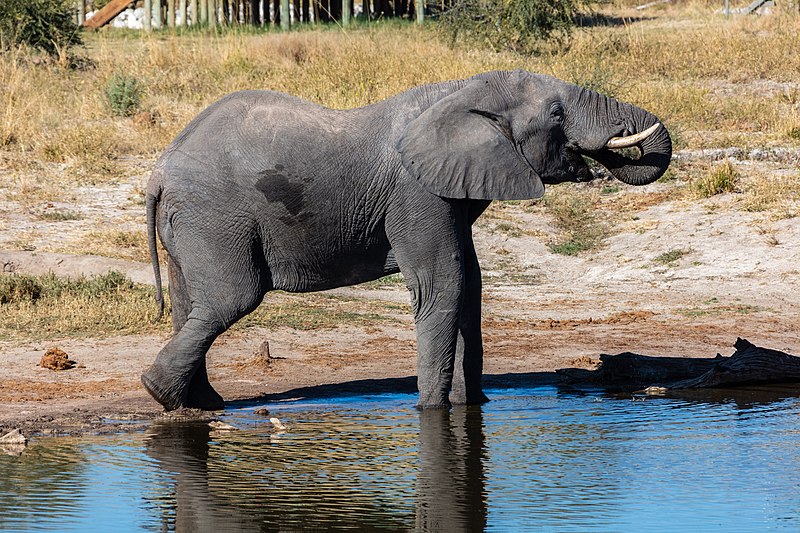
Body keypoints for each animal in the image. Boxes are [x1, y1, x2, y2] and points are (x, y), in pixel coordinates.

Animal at [141, 69, 672, 412]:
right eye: (557, 112)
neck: (461, 91)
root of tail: (160, 171)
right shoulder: (417, 193)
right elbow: (444, 285)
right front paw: (433, 410)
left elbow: (469, 285)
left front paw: (473, 403)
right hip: (215, 219)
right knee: (232, 299)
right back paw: (160, 392)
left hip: (190, 226)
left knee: (191, 306)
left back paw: (201, 404)